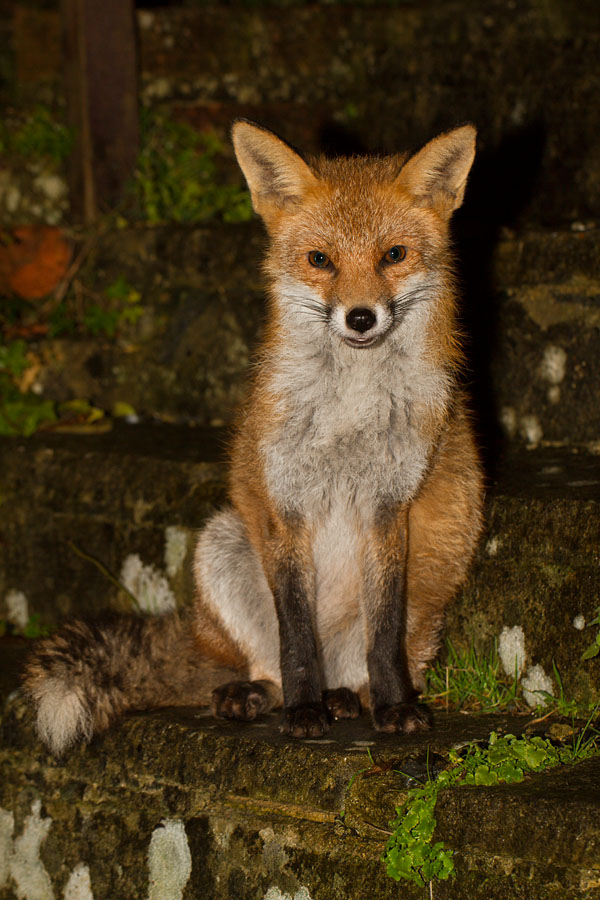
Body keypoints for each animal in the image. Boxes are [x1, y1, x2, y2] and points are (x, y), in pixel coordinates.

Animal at [24, 120, 484, 755]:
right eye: (320, 260)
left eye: (394, 255)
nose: (360, 317)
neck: (348, 413)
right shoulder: (282, 506)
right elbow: (295, 640)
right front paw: (303, 712)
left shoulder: (389, 509)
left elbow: (384, 635)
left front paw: (394, 709)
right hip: (222, 541)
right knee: (266, 663)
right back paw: (262, 696)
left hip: (426, 597)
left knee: (362, 665)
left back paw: (348, 699)